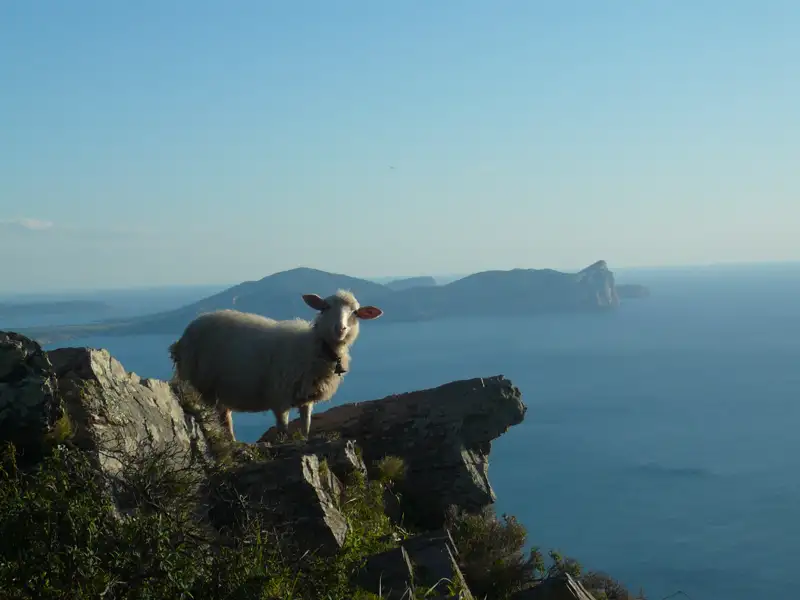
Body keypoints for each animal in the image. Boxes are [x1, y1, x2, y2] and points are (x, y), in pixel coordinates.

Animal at [168, 289, 383, 441]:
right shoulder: (279, 397)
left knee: (224, 417)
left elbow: (306, 426)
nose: (340, 328)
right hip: (199, 384)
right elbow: (282, 431)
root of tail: (184, 335)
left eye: (355, 312)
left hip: (218, 391)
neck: (314, 347)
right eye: (325, 307)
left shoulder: (306, 397)